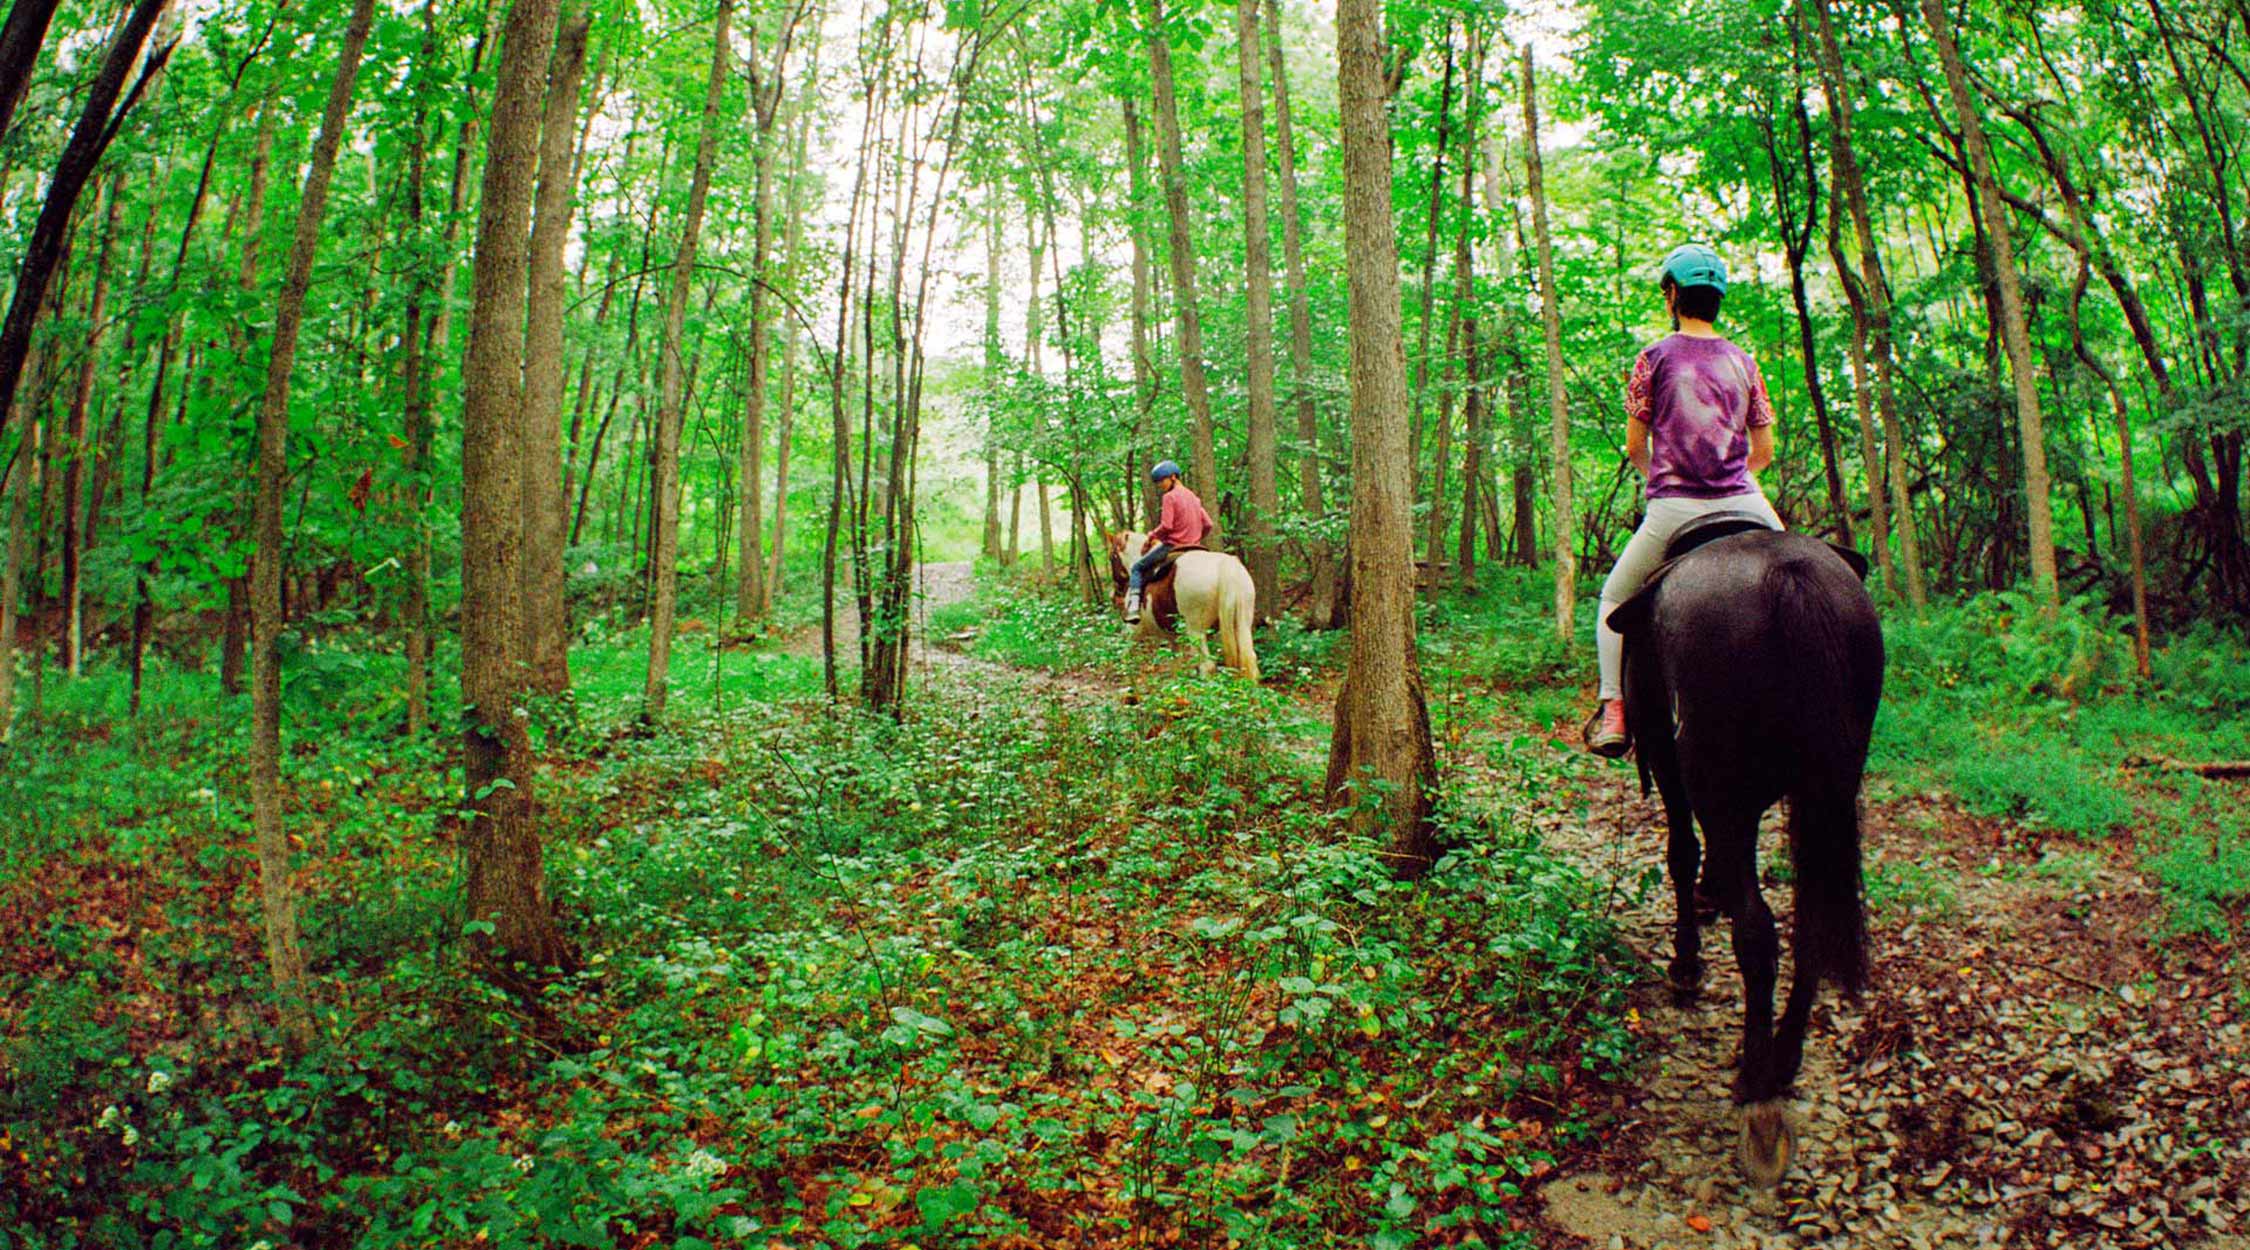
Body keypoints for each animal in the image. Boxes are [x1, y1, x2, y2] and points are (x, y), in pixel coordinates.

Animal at [1105, 531, 1261, 683]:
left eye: (1112, 557)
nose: (1114, 594)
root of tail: (1226, 566)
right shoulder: (1173, 636)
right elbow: (1176, 664)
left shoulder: (1134, 629)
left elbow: (1125, 653)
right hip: (1242, 623)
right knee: (1250, 660)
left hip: (1195, 631)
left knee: (1207, 666)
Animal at [1604, 513, 1884, 1188]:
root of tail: (1791, 578)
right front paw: (1713, 895)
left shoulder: (1674, 764)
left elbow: (1681, 852)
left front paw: (1686, 963)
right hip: (1829, 784)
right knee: (1811, 920)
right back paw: (1783, 1059)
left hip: (1712, 774)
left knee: (1759, 933)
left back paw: (1757, 1090)